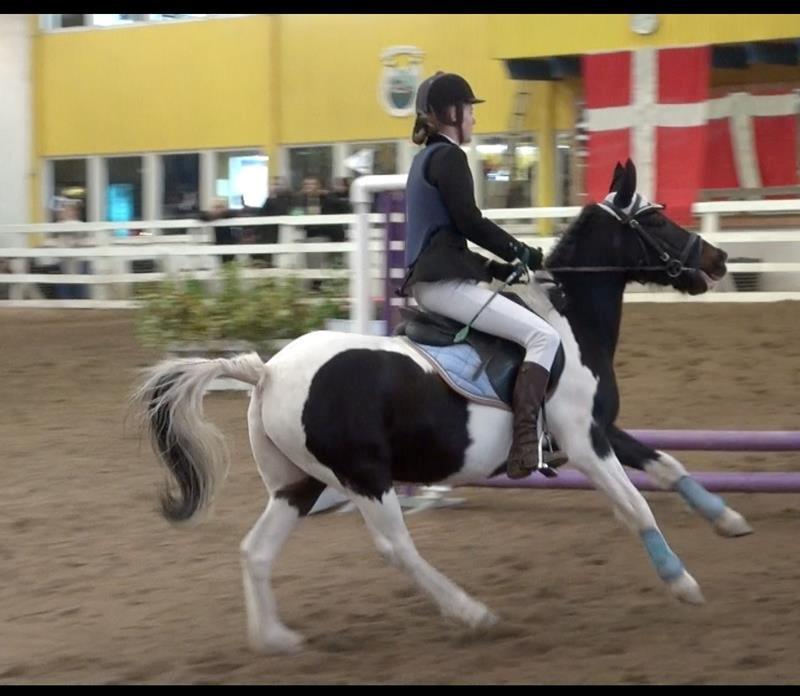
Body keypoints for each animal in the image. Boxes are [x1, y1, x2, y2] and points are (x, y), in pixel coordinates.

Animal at [134, 158, 752, 652]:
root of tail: (266, 372)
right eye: (655, 219)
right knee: (395, 547)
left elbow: (668, 466)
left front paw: (729, 520)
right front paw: (682, 583)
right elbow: (636, 506)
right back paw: (472, 612)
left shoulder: (601, 428)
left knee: (256, 551)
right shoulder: (583, 442)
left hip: (297, 484)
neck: (569, 322)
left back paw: (275, 639)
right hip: (365, 477)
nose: (719, 260)